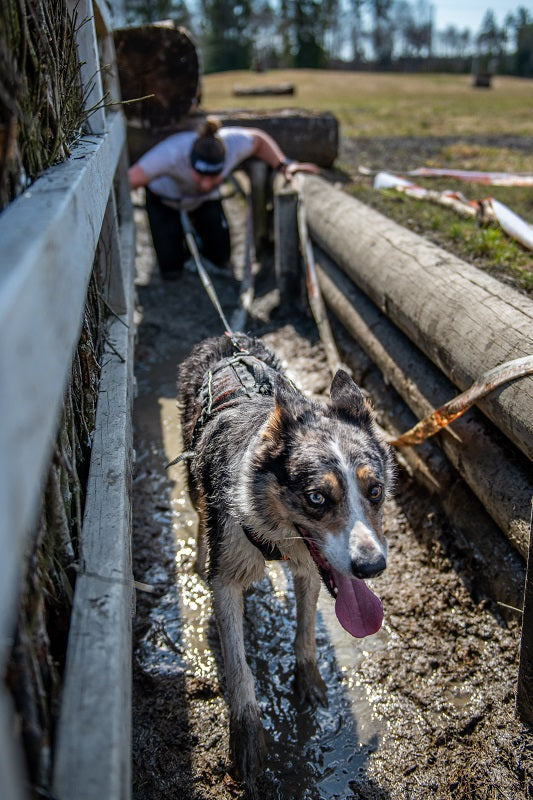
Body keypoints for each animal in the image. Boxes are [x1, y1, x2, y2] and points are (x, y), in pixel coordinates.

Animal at [177, 332, 392, 792]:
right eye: (317, 498)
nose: (371, 567)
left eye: (376, 491)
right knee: (200, 512)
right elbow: (239, 666)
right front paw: (247, 736)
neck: (275, 532)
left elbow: (307, 629)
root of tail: (226, 337)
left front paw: (308, 679)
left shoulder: (310, 569)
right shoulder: (227, 577)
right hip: (193, 476)